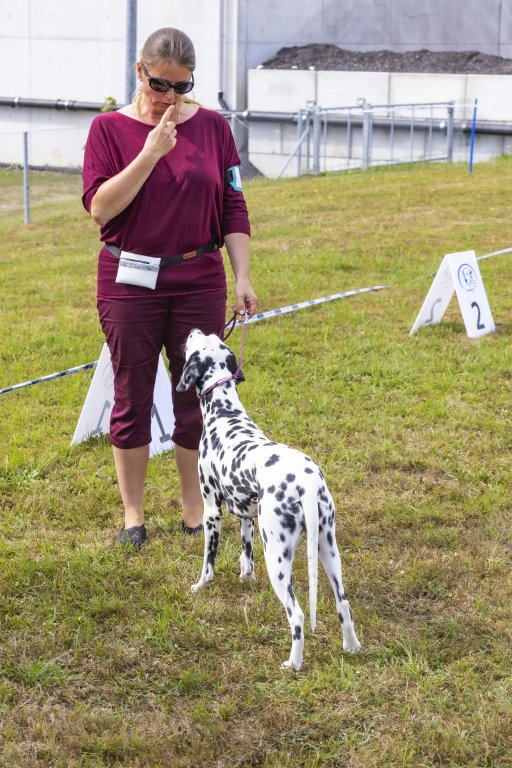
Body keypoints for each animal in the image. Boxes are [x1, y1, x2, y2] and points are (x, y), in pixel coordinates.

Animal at [177, 329, 361, 670]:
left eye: (198, 341)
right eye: (210, 336)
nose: (193, 330)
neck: (225, 413)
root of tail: (306, 483)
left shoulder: (211, 511)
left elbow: (208, 561)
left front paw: (200, 586)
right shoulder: (246, 516)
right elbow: (245, 557)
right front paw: (245, 577)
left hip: (277, 556)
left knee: (297, 615)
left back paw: (294, 664)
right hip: (328, 550)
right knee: (343, 604)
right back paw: (352, 647)